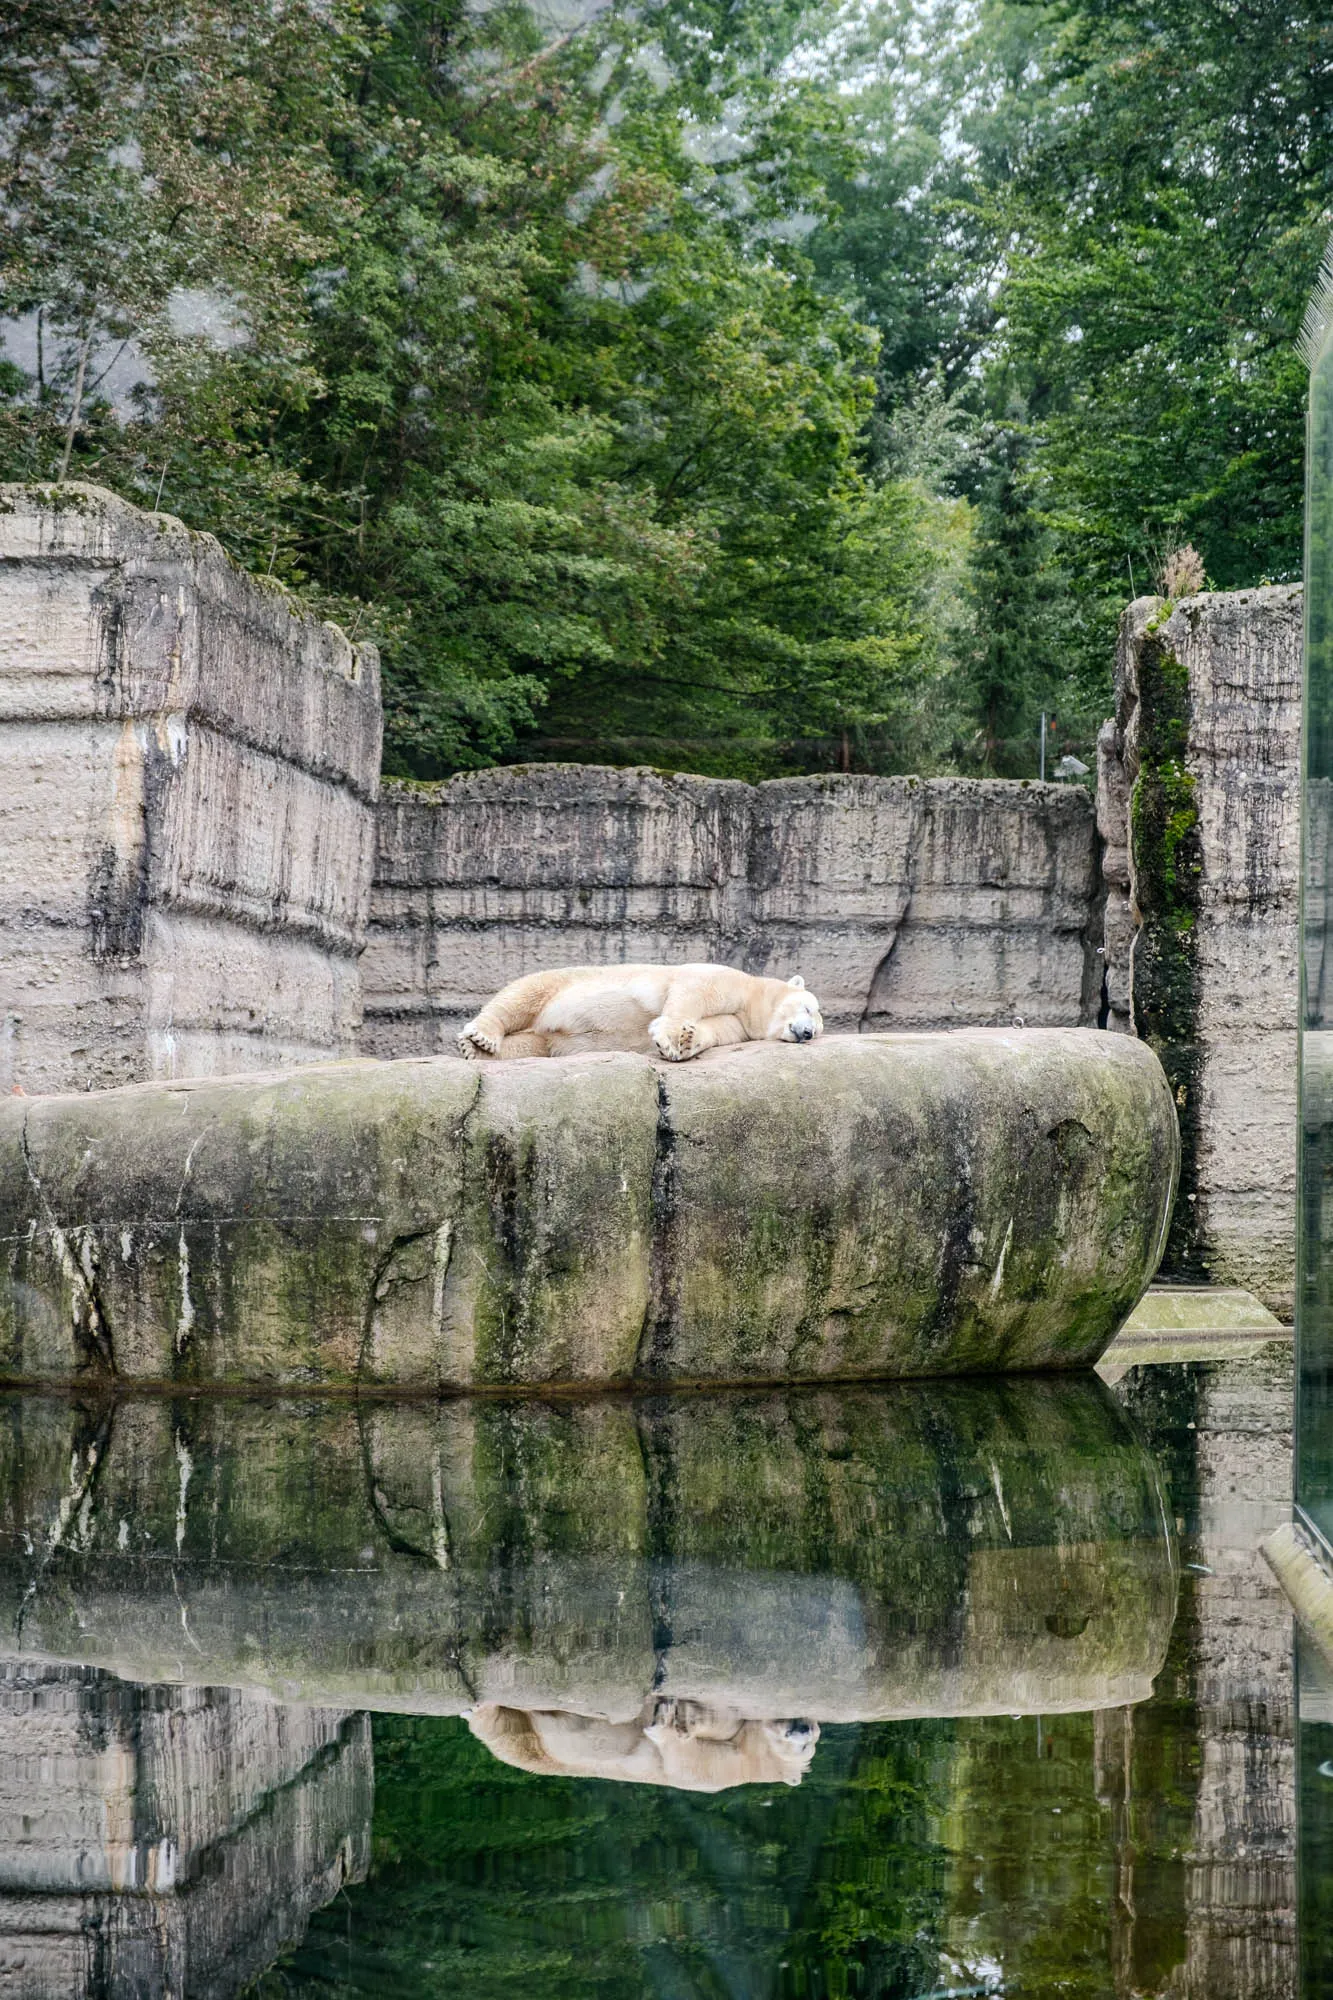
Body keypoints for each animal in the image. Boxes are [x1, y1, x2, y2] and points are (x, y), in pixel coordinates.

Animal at [456, 961, 823, 1063]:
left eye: (818, 1030)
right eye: (808, 1006)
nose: (807, 1033)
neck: (751, 999)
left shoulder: (739, 1025)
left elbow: (715, 1030)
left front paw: (687, 1041)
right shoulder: (723, 978)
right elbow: (694, 991)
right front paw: (668, 1038)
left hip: (547, 1042)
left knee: (530, 1045)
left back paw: (483, 1052)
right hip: (565, 982)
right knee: (524, 993)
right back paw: (480, 1037)